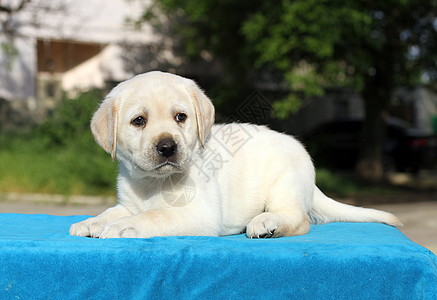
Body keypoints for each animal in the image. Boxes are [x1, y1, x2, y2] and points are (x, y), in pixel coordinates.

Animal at [70, 70, 400, 239]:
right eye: (139, 121)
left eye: (181, 117)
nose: (167, 147)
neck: (152, 183)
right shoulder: (129, 202)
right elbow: (115, 211)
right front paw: (92, 222)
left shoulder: (199, 214)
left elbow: (156, 215)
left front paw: (125, 227)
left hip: (285, 184)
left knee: (300, 219)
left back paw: (266, 224)